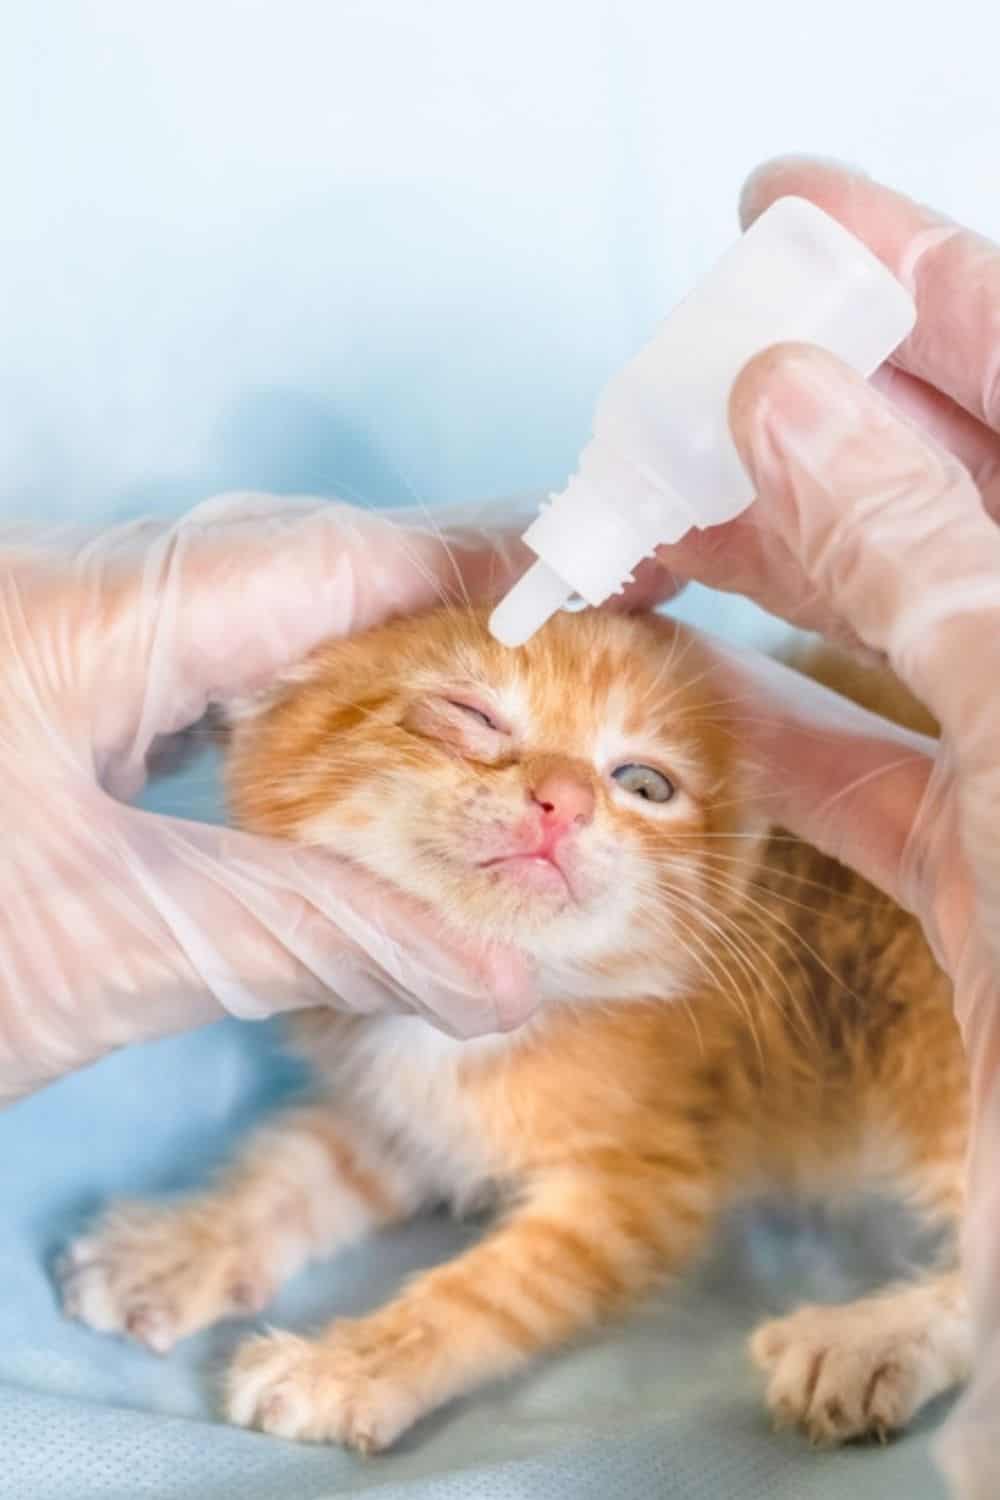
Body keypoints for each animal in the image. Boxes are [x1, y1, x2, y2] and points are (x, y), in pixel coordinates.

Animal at [58, 603, 965, 1446]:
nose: (563, 800)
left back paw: (865, 1343)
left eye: (646, 784)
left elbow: (499, 1292)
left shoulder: (645, 1184)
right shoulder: (408, 1093)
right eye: (470, 714)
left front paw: (346, 1368)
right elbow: (299, 1168)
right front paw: (179, 1251)